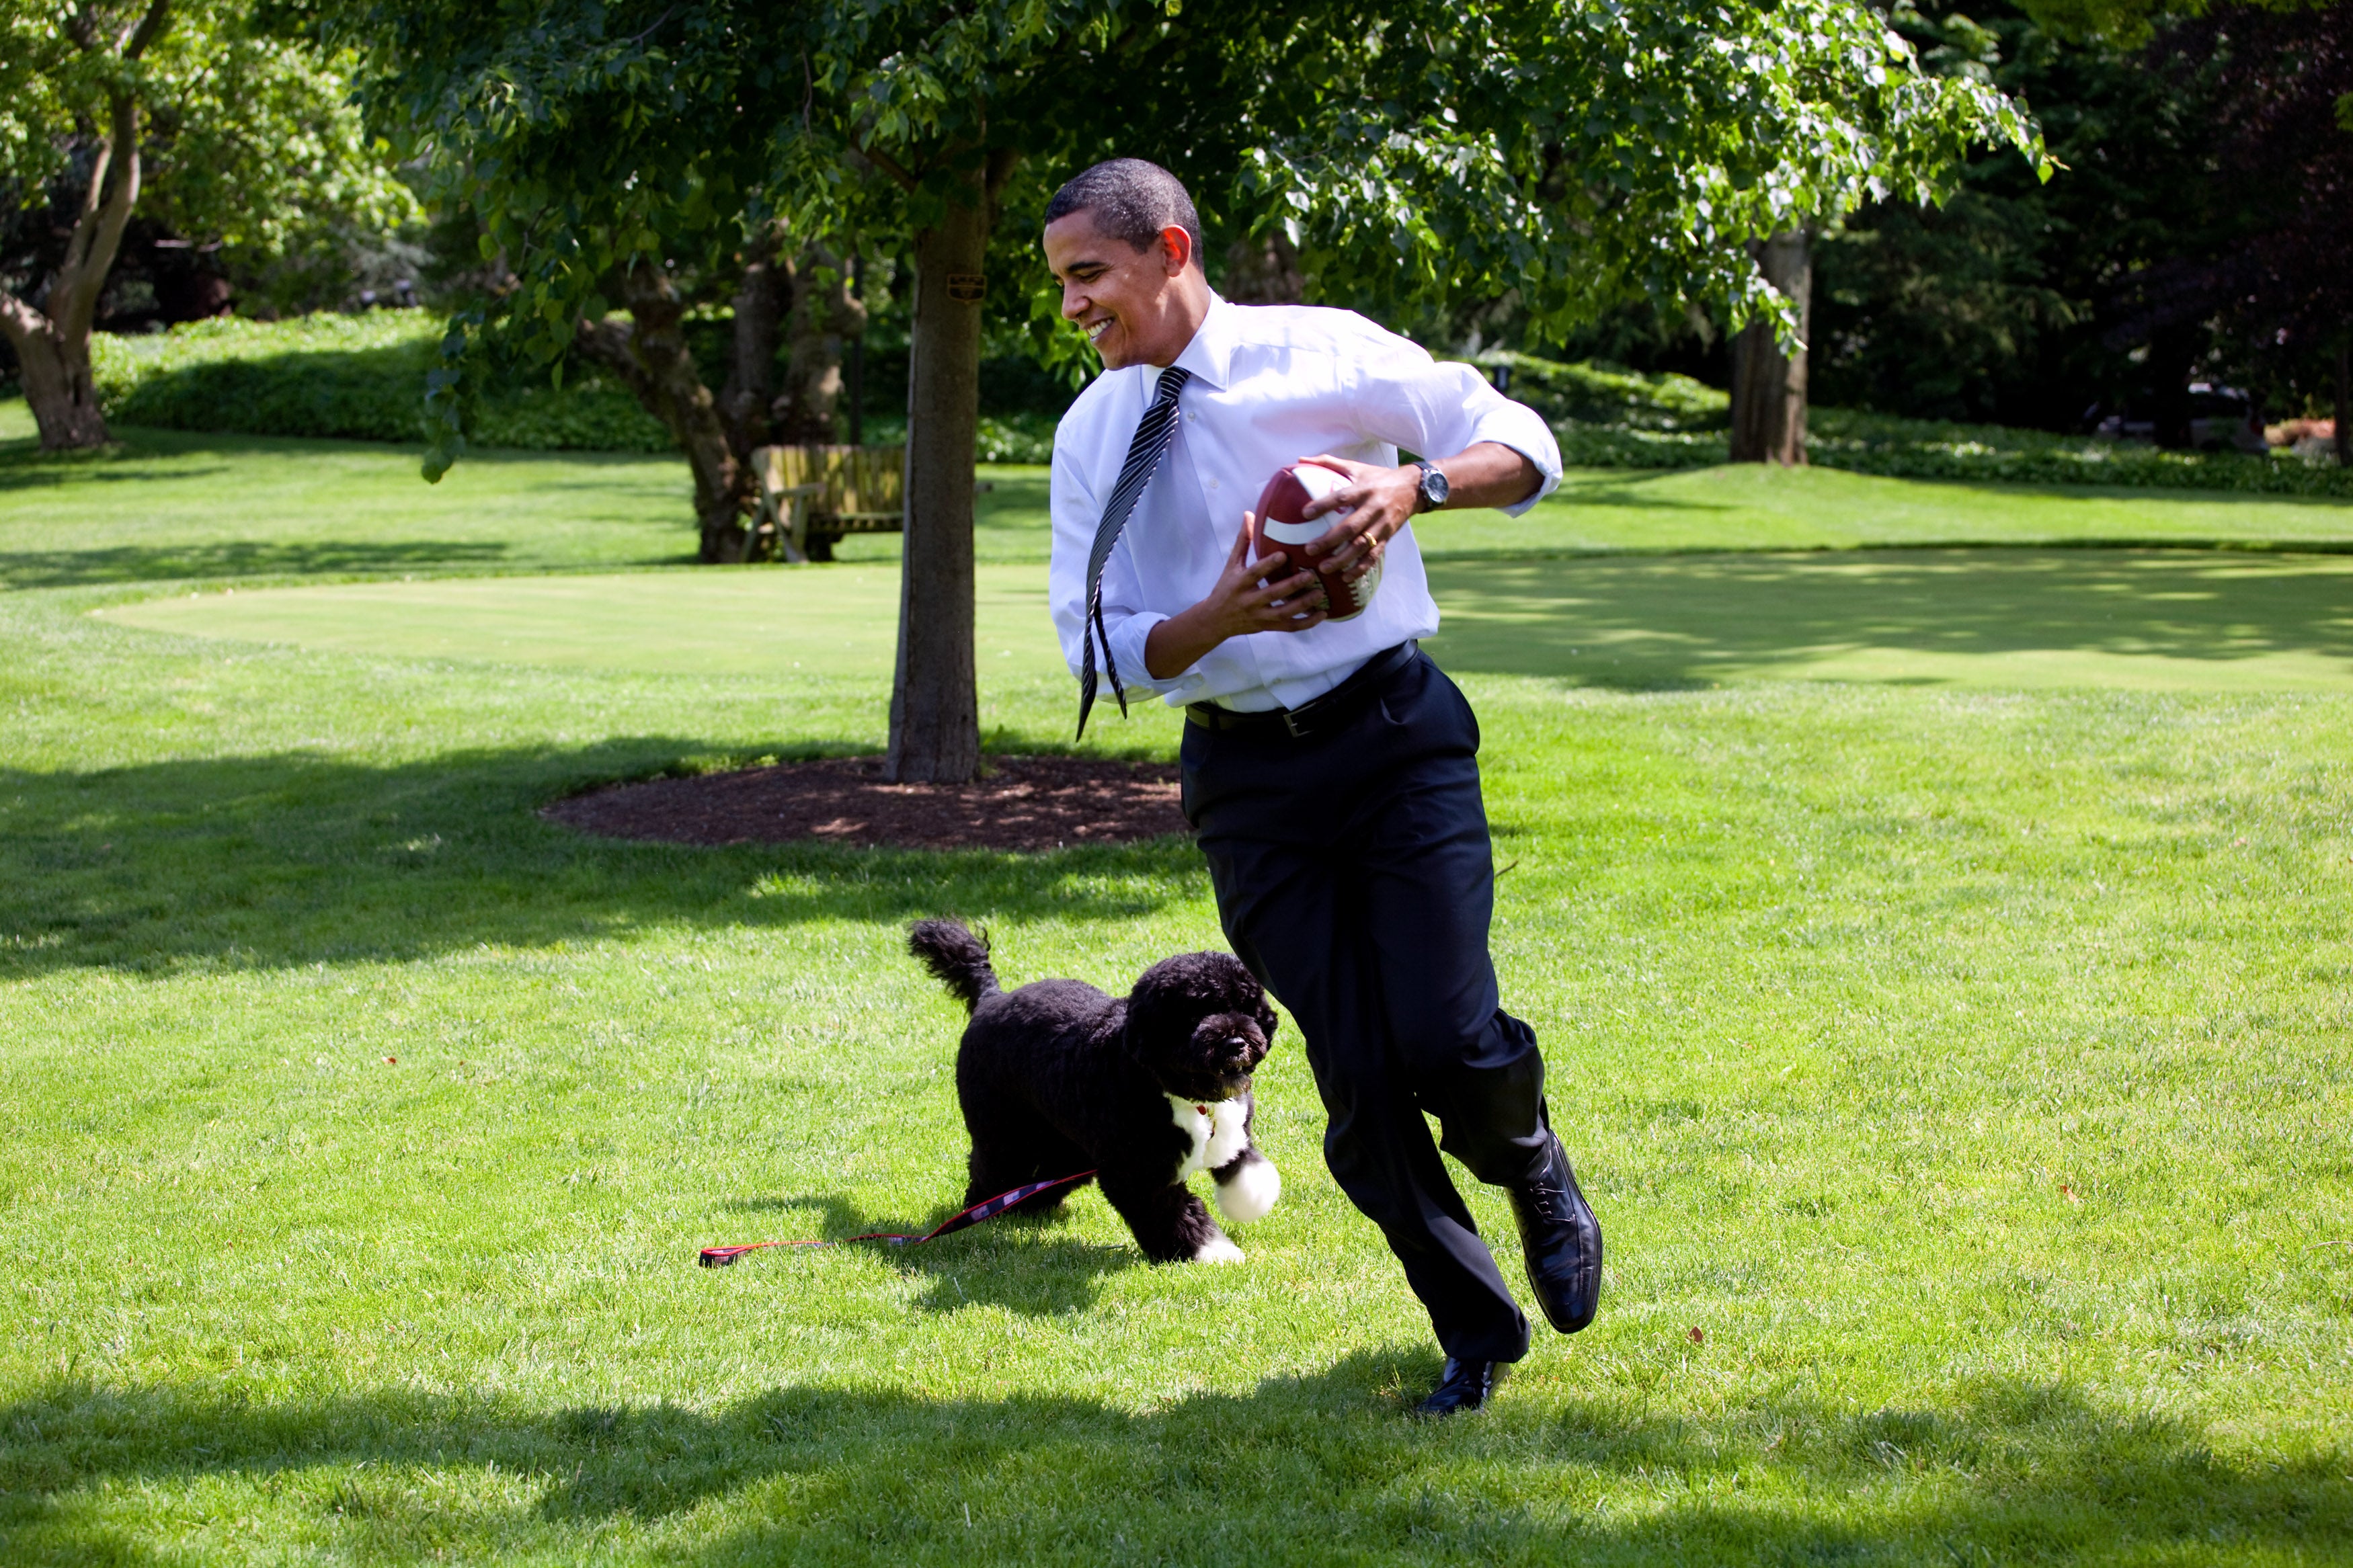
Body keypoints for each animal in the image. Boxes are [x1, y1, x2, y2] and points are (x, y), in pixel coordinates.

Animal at [908, 921, 1289, 1260]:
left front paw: (1250, 1201)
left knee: (1047, 1173)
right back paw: (983, 1211)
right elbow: (1177, 1215)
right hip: (1003, 1129)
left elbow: (1244, 1169)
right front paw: (1212, 1253)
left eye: (1244, 1007)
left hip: (1067, 1141)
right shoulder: (1135, 1173)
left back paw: (1030, 1207)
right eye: (1193, 1015)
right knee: (993, 1170)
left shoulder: (1234, 1131)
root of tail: (991, 998)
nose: (1236, 1043)